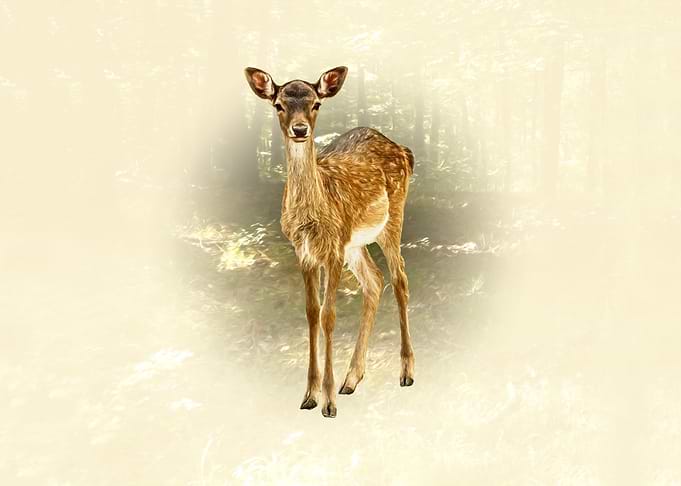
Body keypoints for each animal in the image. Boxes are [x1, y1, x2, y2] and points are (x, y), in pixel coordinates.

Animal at [244, 66, 415, 418]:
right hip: (355, 243)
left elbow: (329, 315)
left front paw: (328, 402)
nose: (299, 129)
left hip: (392, 218)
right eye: (279, 105)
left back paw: (406, 372)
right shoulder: (305, 252)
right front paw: (309, 395)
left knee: (400, 278)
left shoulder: (333, 249)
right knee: (375, 281)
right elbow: (311, 312)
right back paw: (351, 379)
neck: (312, 216)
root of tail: (405, 151)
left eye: (316, 103)